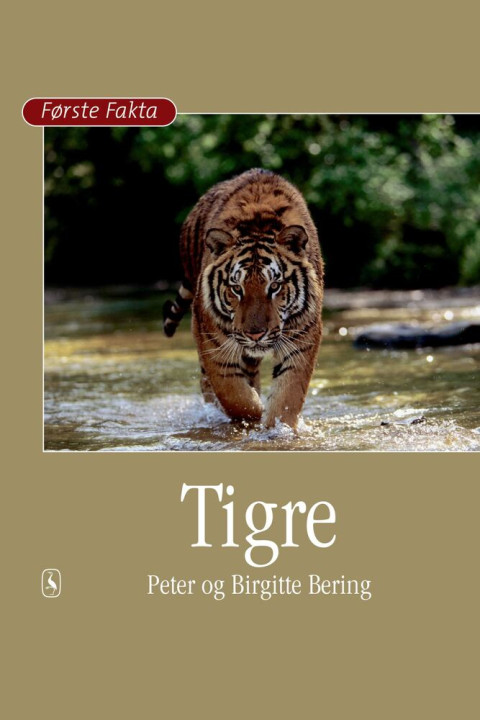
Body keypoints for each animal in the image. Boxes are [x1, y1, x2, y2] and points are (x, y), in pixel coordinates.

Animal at [163, 168, 324, 429]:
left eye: (275, 286)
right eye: (237, 289)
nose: (255, 335)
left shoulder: (302, 337)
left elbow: (287, 397)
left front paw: (276, 429)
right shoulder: (211, 339)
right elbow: (233, 395)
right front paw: (254, 414)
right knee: (207, 383)